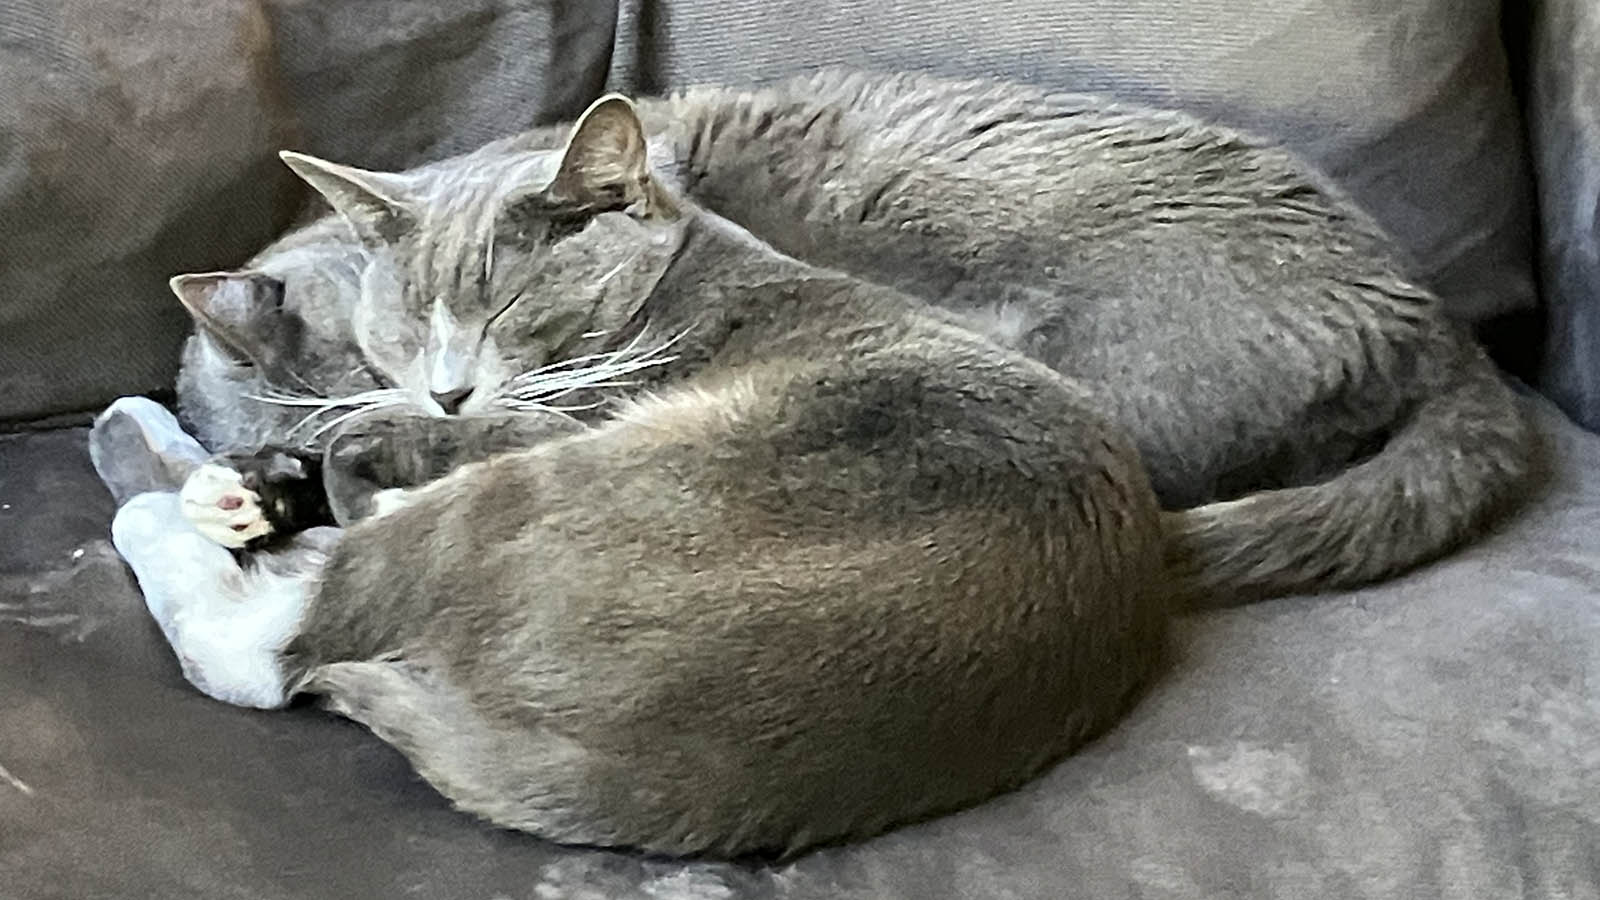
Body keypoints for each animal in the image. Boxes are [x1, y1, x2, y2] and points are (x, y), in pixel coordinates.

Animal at [90, 70, 1536, 851]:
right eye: (396, 333)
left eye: (493, 315)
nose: (434, 385)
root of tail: (1438, 327)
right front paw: (237, 475)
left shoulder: (535, 414)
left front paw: (297, 470)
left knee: (269, 646)